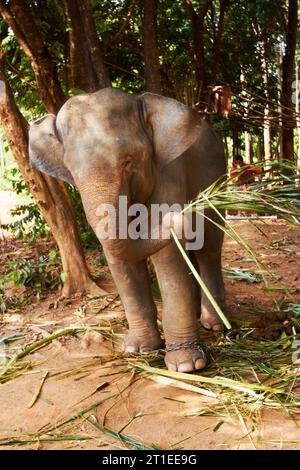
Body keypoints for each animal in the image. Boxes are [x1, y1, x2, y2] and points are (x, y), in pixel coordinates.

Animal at [29, 88, 226, 372]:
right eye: (72, 171)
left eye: (129, 161)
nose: (184, 213)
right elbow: (119, 258)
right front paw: (138, 349)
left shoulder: (168, 171)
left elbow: (168, 257)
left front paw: (186, 366)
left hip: (216, 172)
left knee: (209, 245)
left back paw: (214, 324)